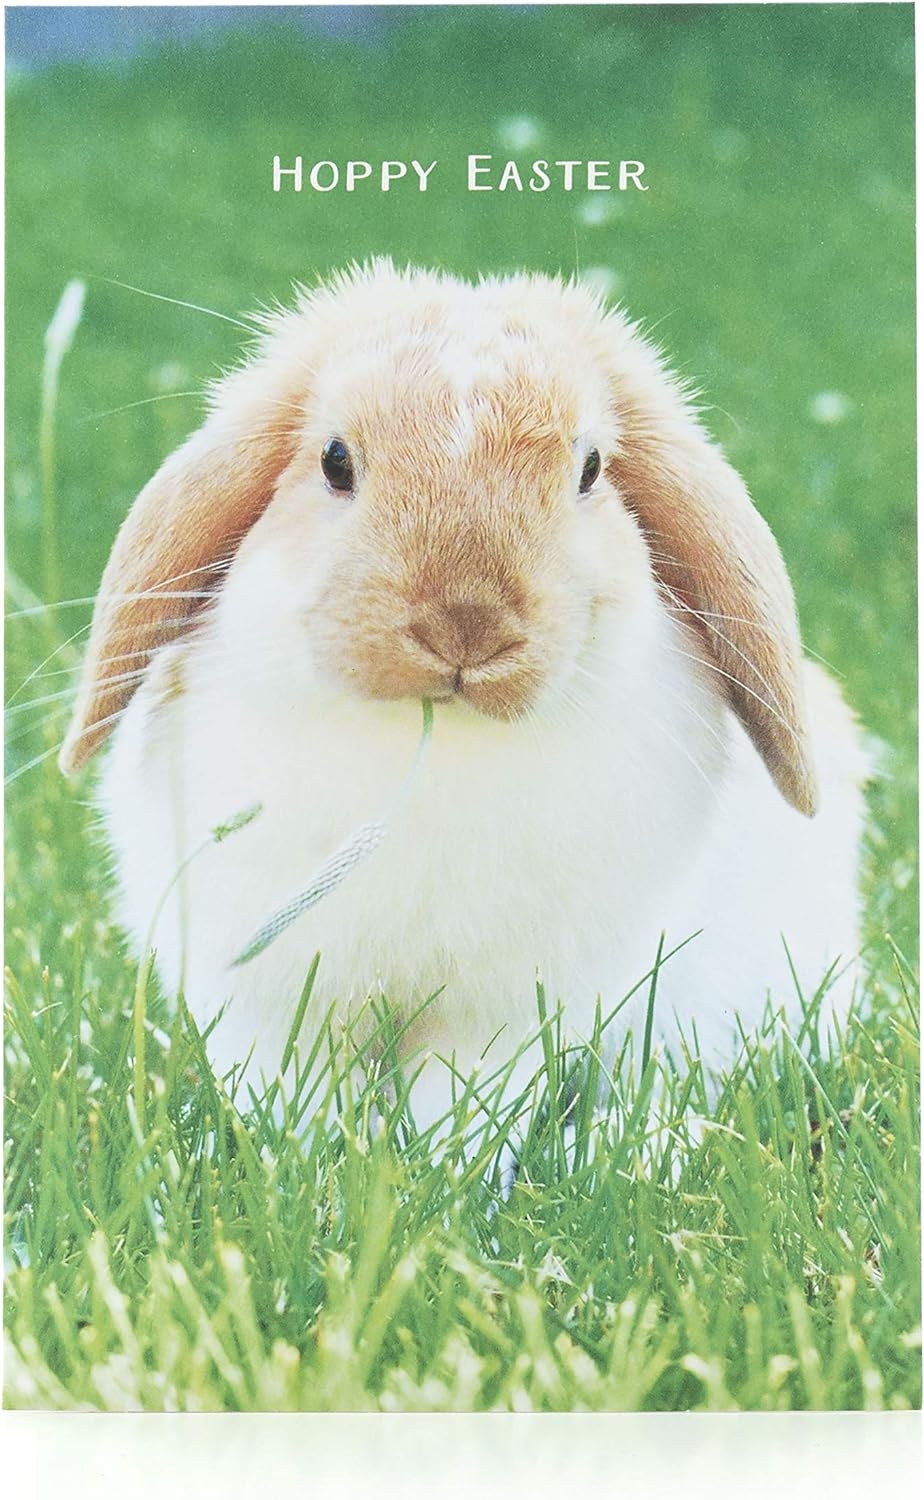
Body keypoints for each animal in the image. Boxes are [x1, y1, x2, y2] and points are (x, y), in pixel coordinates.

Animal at [60, 260, 868, 1136]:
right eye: (335, 460)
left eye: (590, 469)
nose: (466, 624)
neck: (431, 742)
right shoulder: (263, 998)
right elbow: (294, 1087)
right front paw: (310, 1149)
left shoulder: (503, 1014)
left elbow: (463, 1095)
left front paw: (436, 1153)